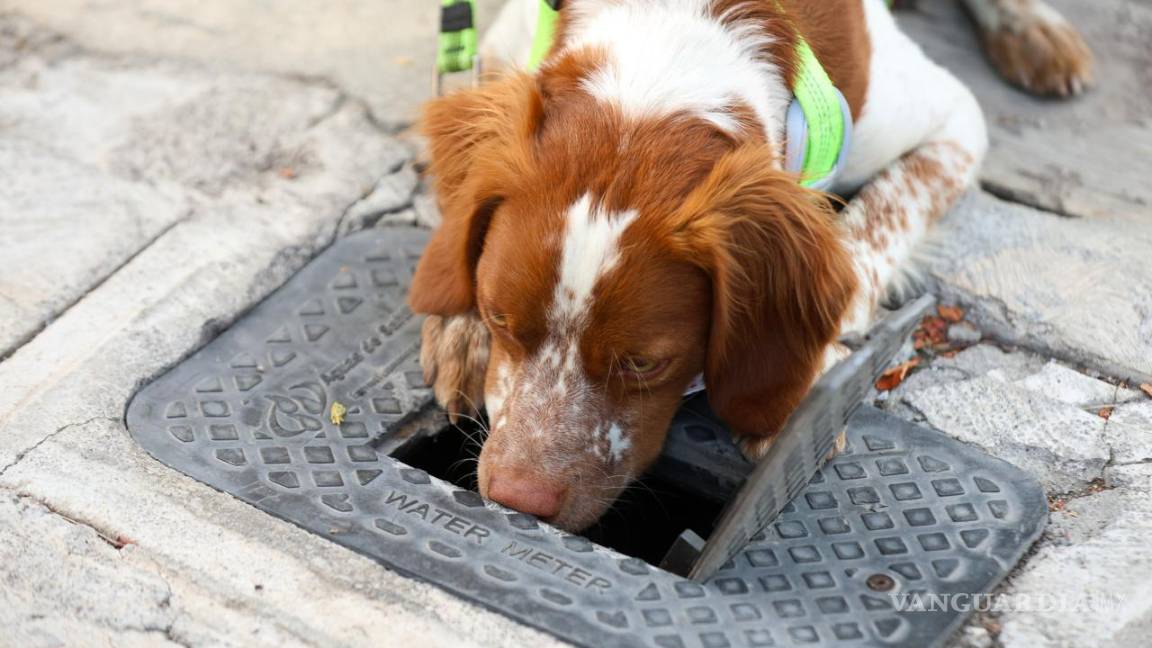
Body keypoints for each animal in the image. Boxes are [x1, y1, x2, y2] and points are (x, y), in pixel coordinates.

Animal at [410, 0, 1092, 530]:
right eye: (501, 319)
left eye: (644, 363)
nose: (517, 500)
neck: (671, 50)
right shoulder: (498, 51)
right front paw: (460, 329)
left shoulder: (953, 120)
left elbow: (866, 233)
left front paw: (806, 378)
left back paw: (1036, 33)